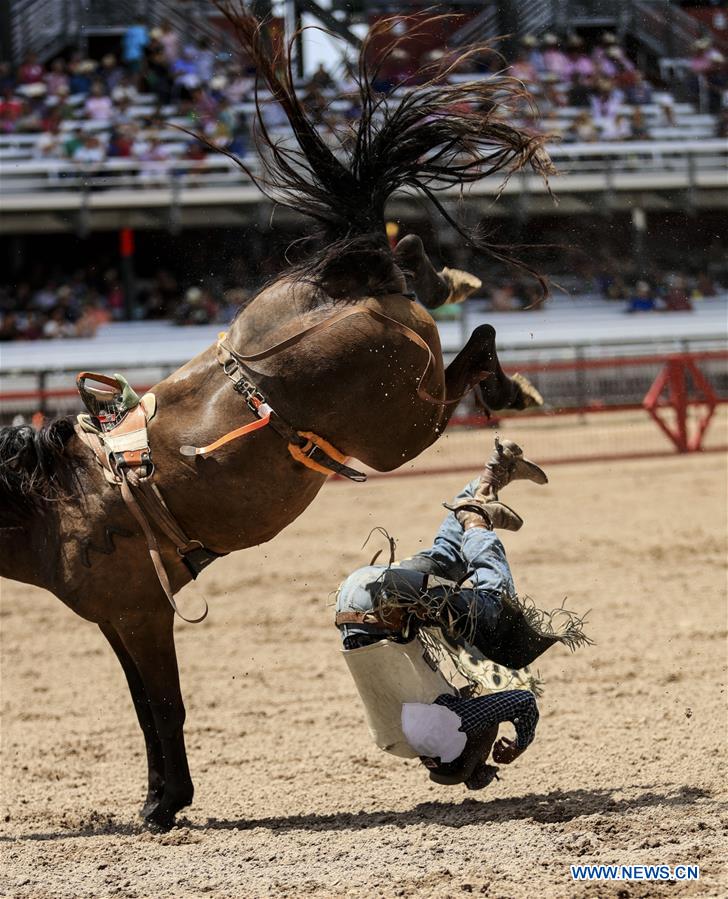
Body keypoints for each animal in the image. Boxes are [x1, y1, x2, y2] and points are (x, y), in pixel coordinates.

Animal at [0, 10, 552, 832]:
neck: (59, 503)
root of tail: (340, 285)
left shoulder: (139, 613)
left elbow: (161, 708)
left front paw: (164, 804)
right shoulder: (119, 618)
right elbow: (143, 709)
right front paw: (160, 796)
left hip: (402, 431)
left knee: (470, 343)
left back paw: (507, 384)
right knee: (411, 264)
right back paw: (445, 279)